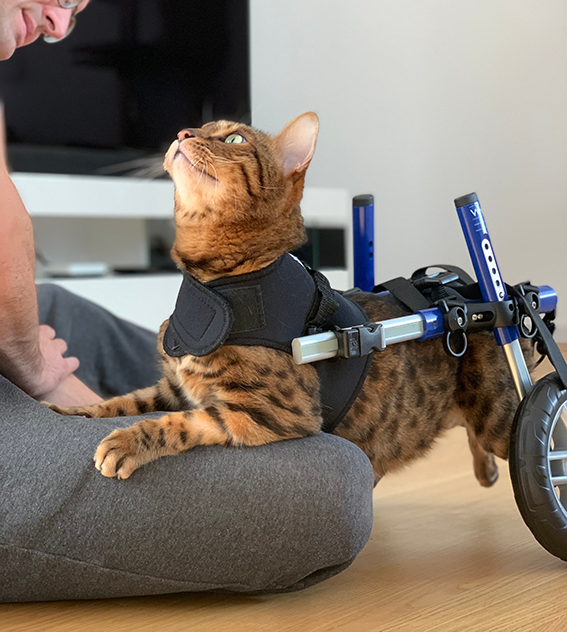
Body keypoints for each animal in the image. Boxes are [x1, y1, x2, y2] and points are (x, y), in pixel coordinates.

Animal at [46, 112, 536, 484]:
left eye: (234, 138)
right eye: (198, 127)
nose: (182, 133)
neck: (215, 282)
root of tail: (481, 293)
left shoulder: (267, 414)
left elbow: (183, 422)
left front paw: (128, 441)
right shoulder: (174, 386)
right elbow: (123, 401)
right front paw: (70, 410)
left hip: (498, 412)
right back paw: (485, 470)